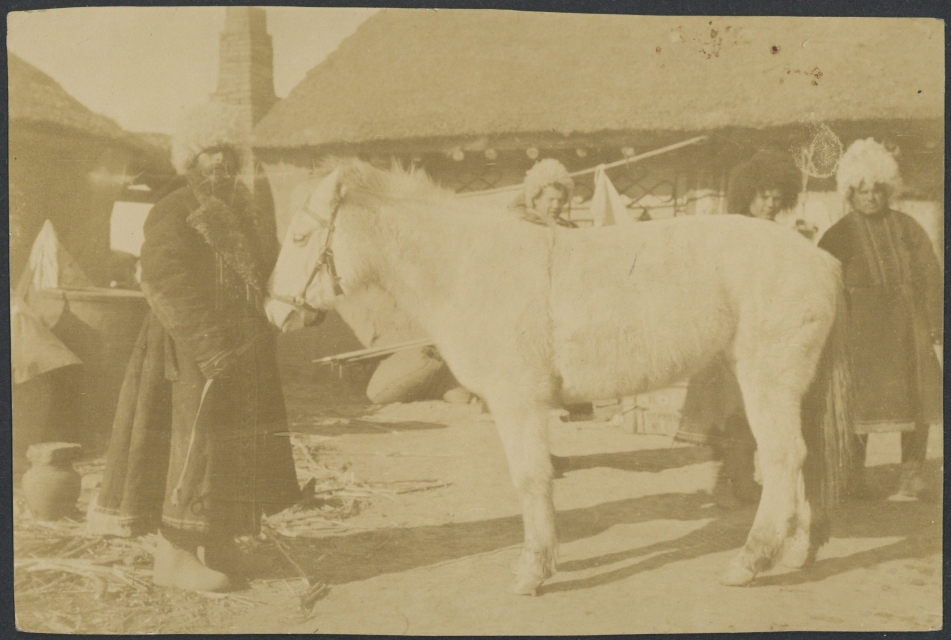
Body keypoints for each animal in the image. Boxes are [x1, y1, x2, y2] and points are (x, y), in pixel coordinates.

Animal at [265, 159, 853, 596]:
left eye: (300, 236)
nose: (273, 312)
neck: (473, 267)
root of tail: (819, 260)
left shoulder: (517, 402)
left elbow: (531, 479)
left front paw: (532, 571)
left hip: (767, 381)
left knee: (782, 459)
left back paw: (749, 562)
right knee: (802, 461)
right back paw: (795, 550)